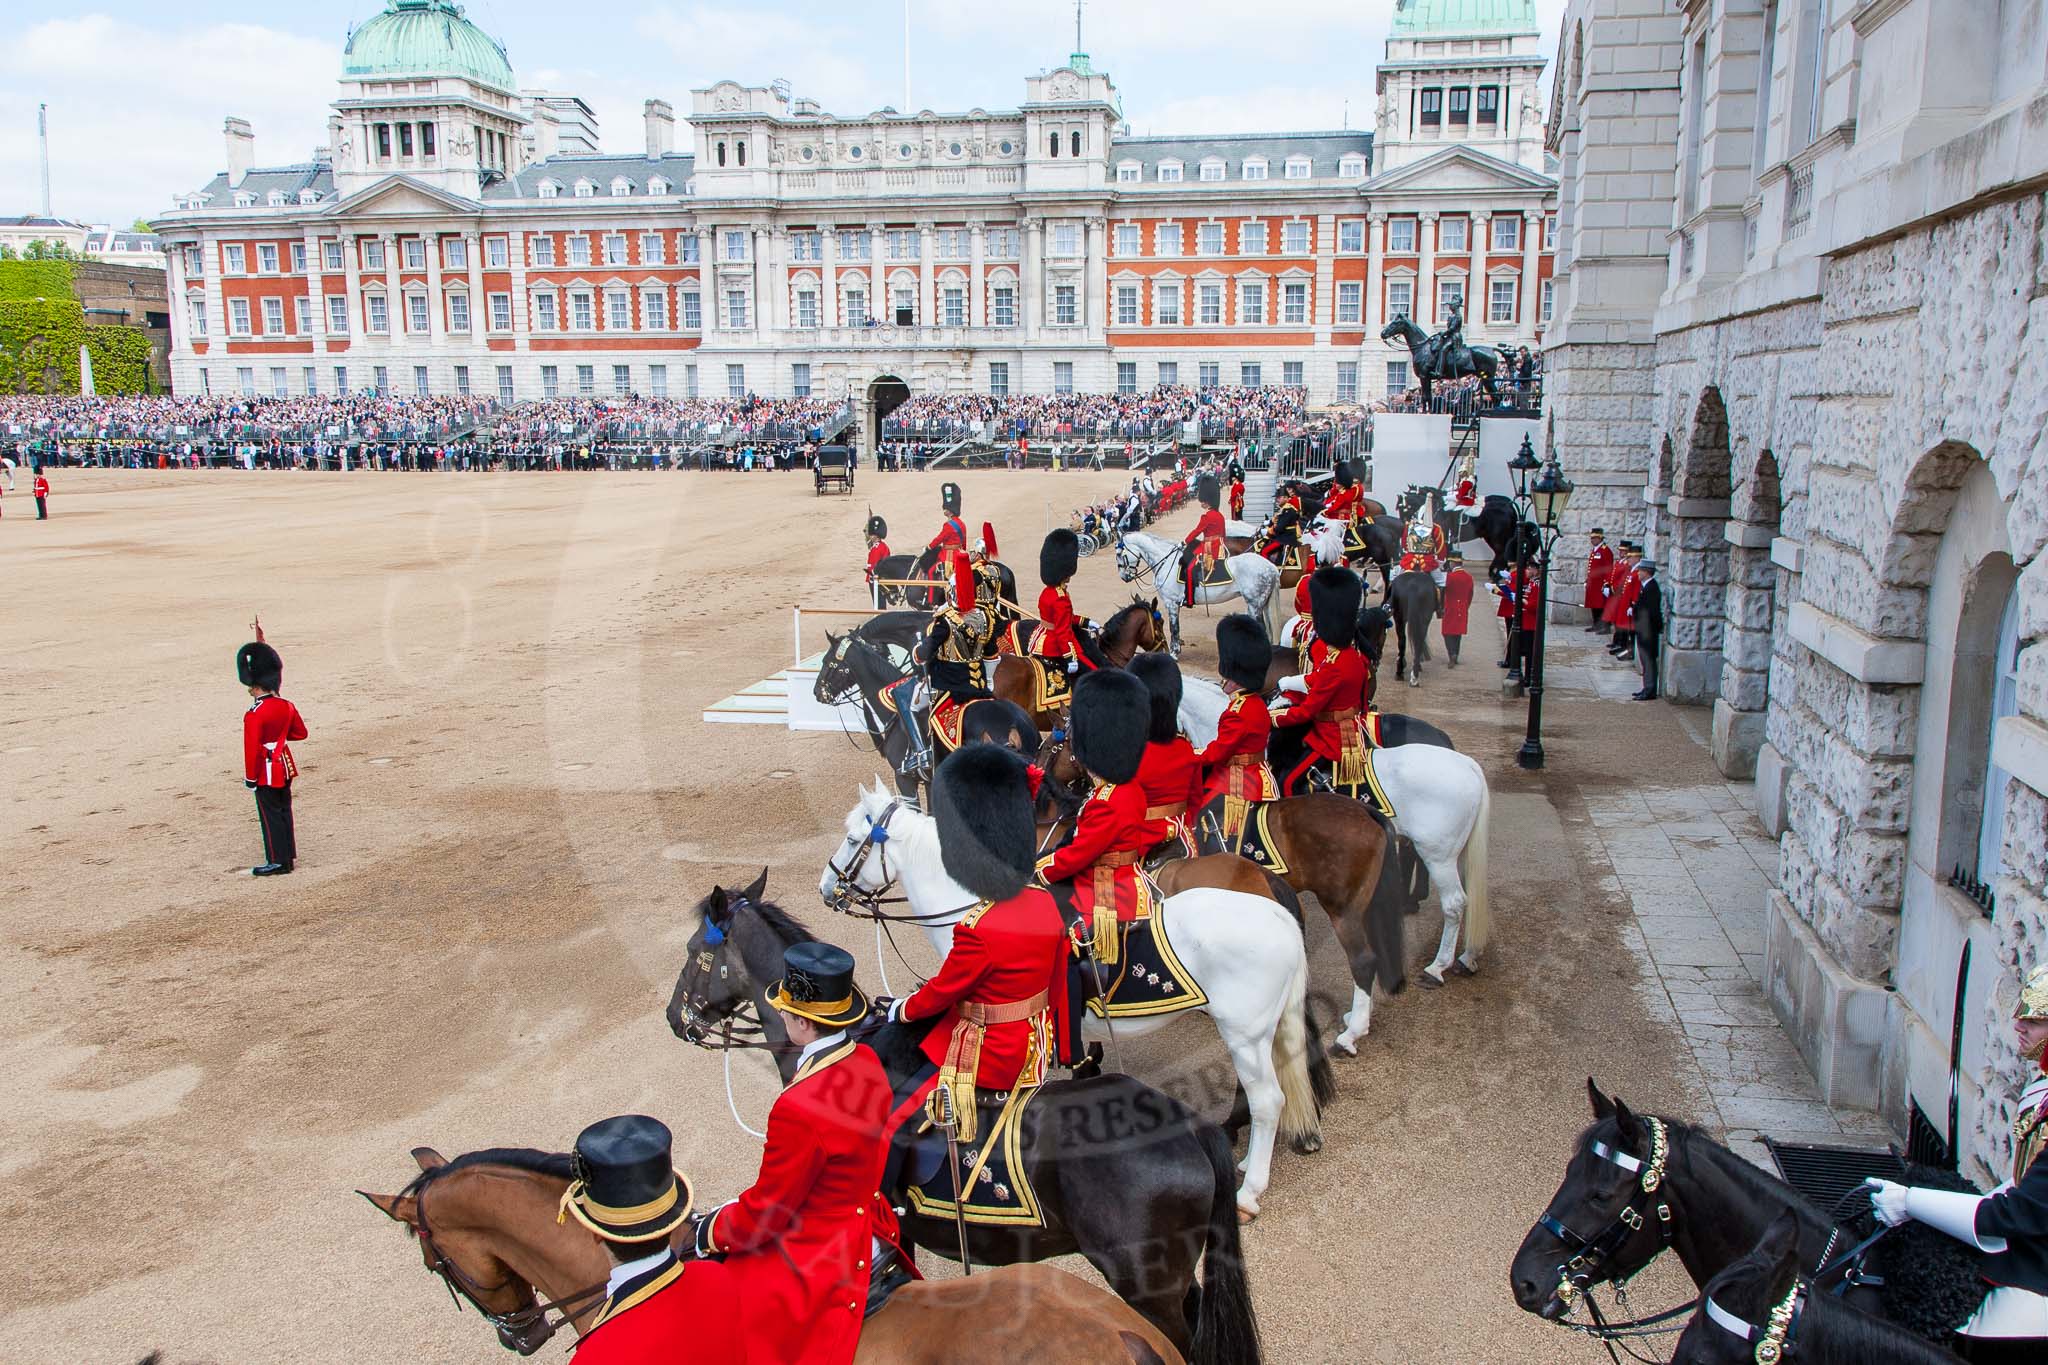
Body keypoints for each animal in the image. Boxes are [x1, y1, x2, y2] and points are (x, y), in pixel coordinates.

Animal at [819, 777, 1318, 1219]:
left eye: (852, 838)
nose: (827, 889)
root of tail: (1275, 911)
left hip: (1243, 1034)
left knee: (1267, 1098)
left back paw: (1249, 1189)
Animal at [1114, 532, 1269, 658]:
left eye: (1119, 554)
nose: (1123, 576)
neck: (1166, 561)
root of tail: (1269, 566)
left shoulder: (1171, 603)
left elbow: (1174, 628)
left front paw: (1174, 653)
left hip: (1254, 605)